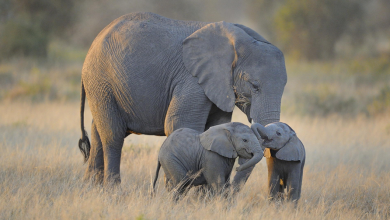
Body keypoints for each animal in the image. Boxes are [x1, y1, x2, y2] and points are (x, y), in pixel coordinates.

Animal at [79, 12, 286, 186]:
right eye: (254, 86)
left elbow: (215, 126)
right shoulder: (192, 80)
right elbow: (180, 123)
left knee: (98, 132)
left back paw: (91, 189)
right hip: (101, 81)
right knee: (113, 135)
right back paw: (113, 191)